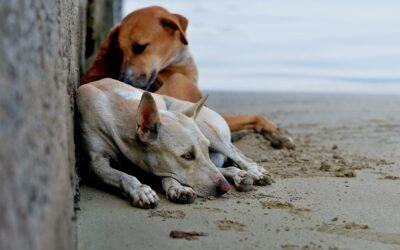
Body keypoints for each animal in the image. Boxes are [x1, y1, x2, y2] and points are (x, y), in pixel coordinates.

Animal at [76, 79, 272, 208]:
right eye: (187, 156)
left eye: (205, 149)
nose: (224, 188)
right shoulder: (96, 164)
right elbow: (123, 176)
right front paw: (142, 190)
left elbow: (169, 176)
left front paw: (177, 189)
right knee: (222, 168)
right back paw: (239, 176)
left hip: (204, 126)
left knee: (237, 155)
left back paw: (253, 172)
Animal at [80, 5, 294, 149]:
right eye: (120, 50)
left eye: (140, 47)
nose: (124, 80)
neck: (173, 64)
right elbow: (254, 116)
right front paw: (277, 132)